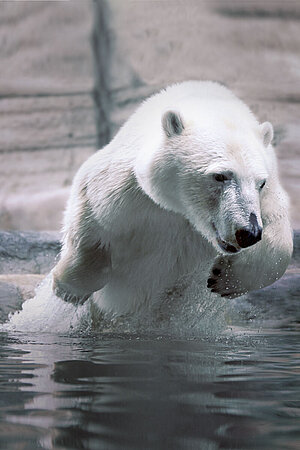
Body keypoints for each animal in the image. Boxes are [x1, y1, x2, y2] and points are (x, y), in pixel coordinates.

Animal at [52, 81, 292, 312]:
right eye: (219, 176)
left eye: (260, 183)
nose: (248, 232)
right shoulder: (130, 190)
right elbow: (93, 206)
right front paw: (70, 288)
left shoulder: (267, 195)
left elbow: (280, 239)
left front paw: (225, 279)